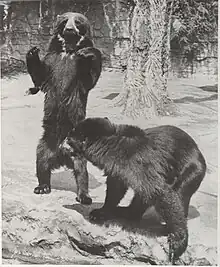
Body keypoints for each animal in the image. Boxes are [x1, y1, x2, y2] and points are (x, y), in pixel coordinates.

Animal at [25, 12, 102, 204]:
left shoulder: (78, 73)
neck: (68, 50)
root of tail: (61, 153)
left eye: (78, 21)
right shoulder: (53, 61)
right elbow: (40, 76)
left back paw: (84, 196)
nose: (69, 29)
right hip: (47, 142)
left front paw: (88, 52)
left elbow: (90, 76)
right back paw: (42, 187)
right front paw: (32, 51)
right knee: (41, 162)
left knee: (81, 171)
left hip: (78, 150)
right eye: (65, 20)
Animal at [61, 118, 206, 264]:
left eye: (69, 138)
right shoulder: (118, 167)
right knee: (142, 197)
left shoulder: (136, 162)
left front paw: (177, 242)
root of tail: (198, 151)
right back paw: (125, 211)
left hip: (191, 168)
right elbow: (116, 187)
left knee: (178, 191)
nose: (62, 144)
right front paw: (99, 212)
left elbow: (159, 191)